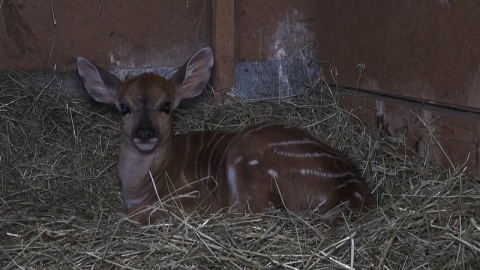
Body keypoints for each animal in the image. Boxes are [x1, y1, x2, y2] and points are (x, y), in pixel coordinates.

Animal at [77, 47, 374, 225]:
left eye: (166, 106)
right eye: (123, 107)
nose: (145, 132)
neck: (144, 184)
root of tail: (353, 189)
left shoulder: (194, 197)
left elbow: (135, 212)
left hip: (243, 158)